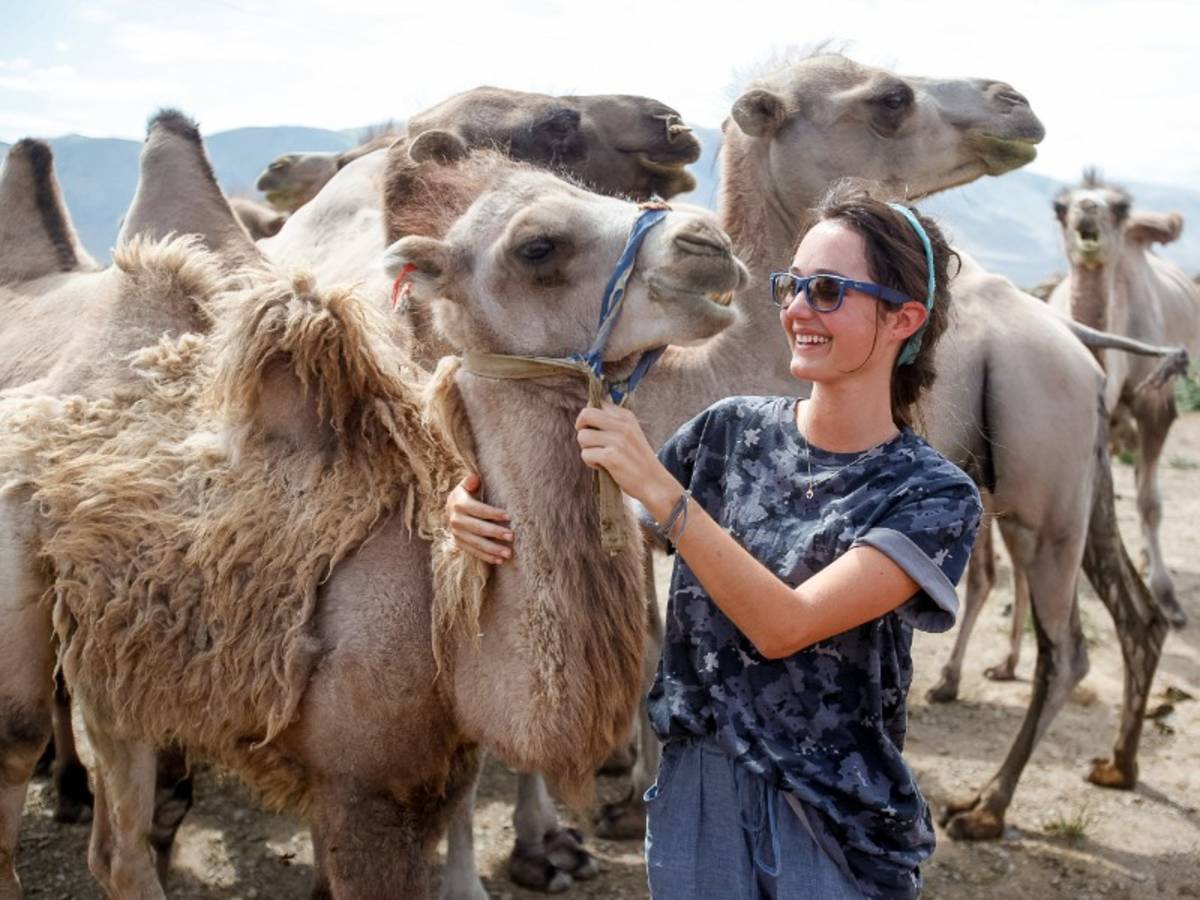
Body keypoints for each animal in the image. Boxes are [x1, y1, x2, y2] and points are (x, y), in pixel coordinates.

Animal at [0, 133, 747, 900]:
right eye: (537, 247)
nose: (708, 242)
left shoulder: (435, 769)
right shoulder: (358, 785)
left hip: (120, 671)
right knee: (46, 769)